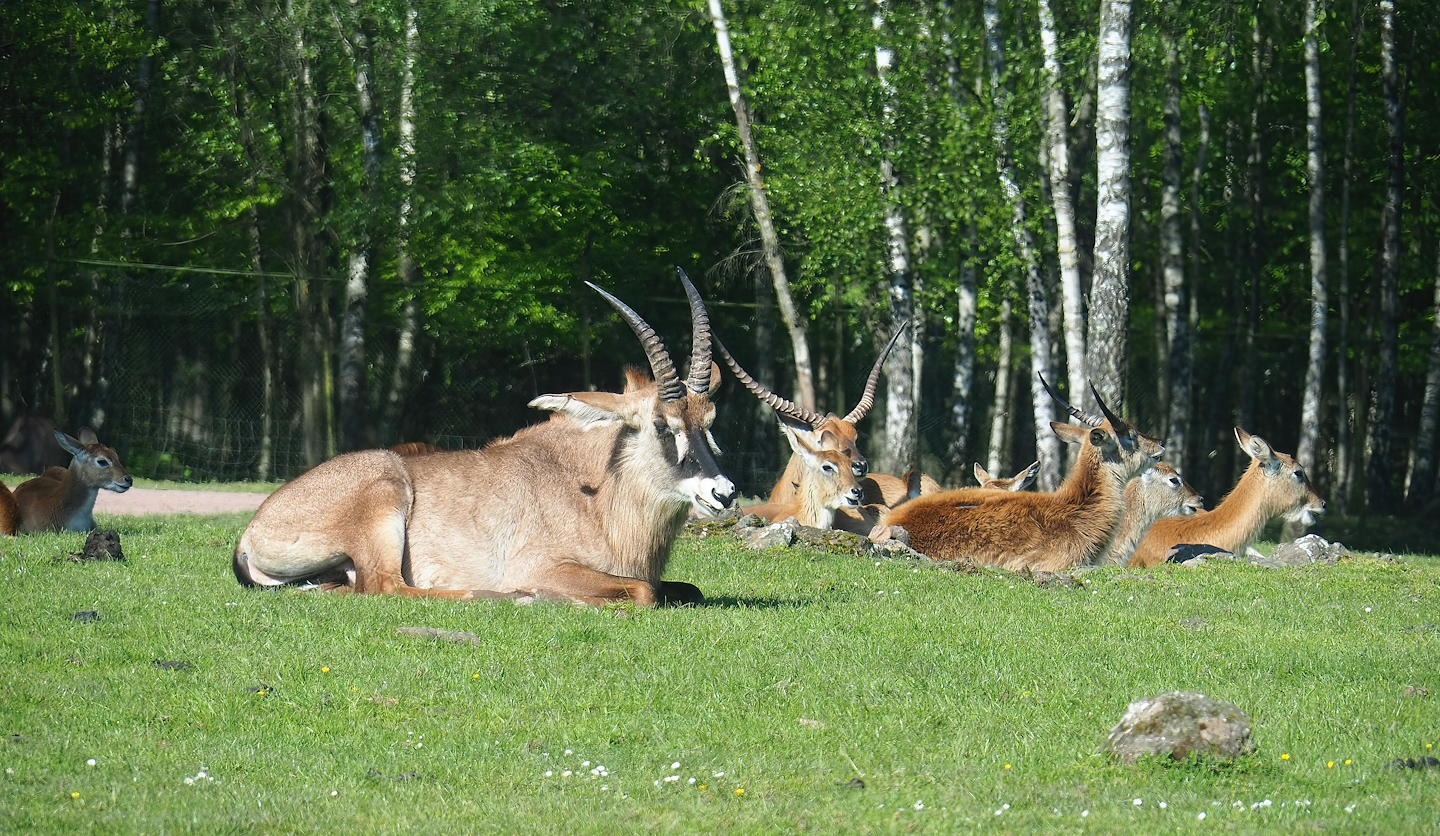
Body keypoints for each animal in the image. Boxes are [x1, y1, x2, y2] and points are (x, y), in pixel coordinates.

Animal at [233, 271, 737, 607]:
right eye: (662, 424)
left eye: (710, 420)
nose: (724, 493)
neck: (592, 489)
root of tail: (252, 531)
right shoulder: (544, 566)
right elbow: (642, 590)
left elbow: (684, 589)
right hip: (385, 496)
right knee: (387, 586)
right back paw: (493, 594)